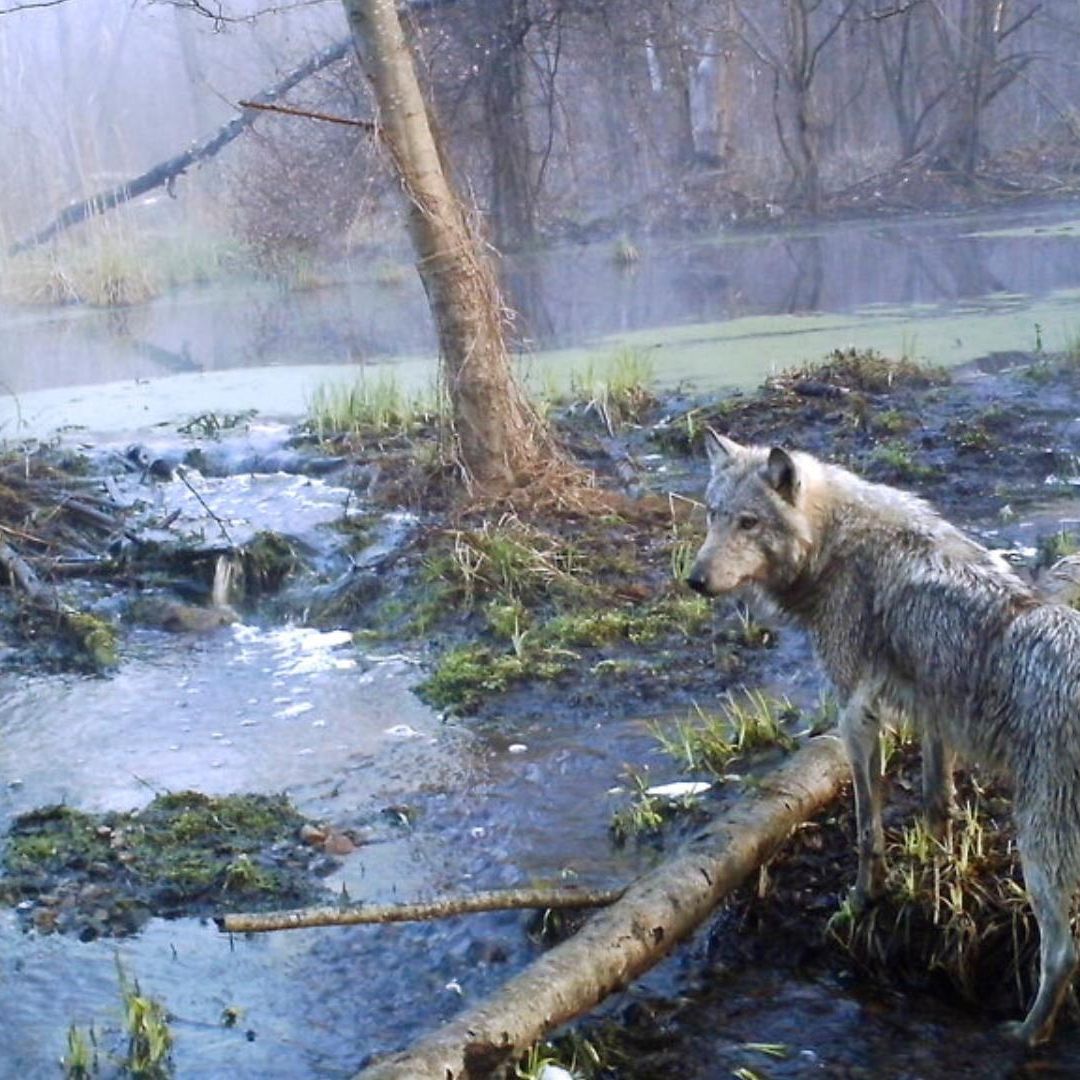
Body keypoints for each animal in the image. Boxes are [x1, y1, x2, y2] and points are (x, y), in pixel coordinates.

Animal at [686, 430, 1080, 1045]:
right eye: (713, 514)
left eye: (749, 523)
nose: (695, 580)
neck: (835, 546)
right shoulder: (932, 707)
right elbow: (936, 802)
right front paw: (936, 877)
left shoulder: (857, 713)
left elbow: (867, 828)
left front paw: (863, 899)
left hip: (1040, 847)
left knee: (1061, 956)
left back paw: (1023, 1036)